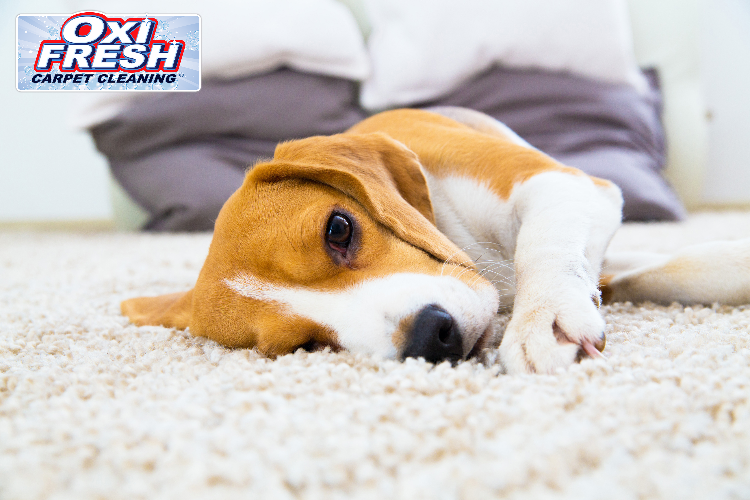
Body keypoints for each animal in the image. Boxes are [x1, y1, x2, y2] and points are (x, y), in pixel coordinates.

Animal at [120, 107, 748, 374]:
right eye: (304, 346)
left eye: (339, 229)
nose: (430, 336)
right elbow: (672, 270)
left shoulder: (563, 185)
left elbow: (548, 248)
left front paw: (543, 318)